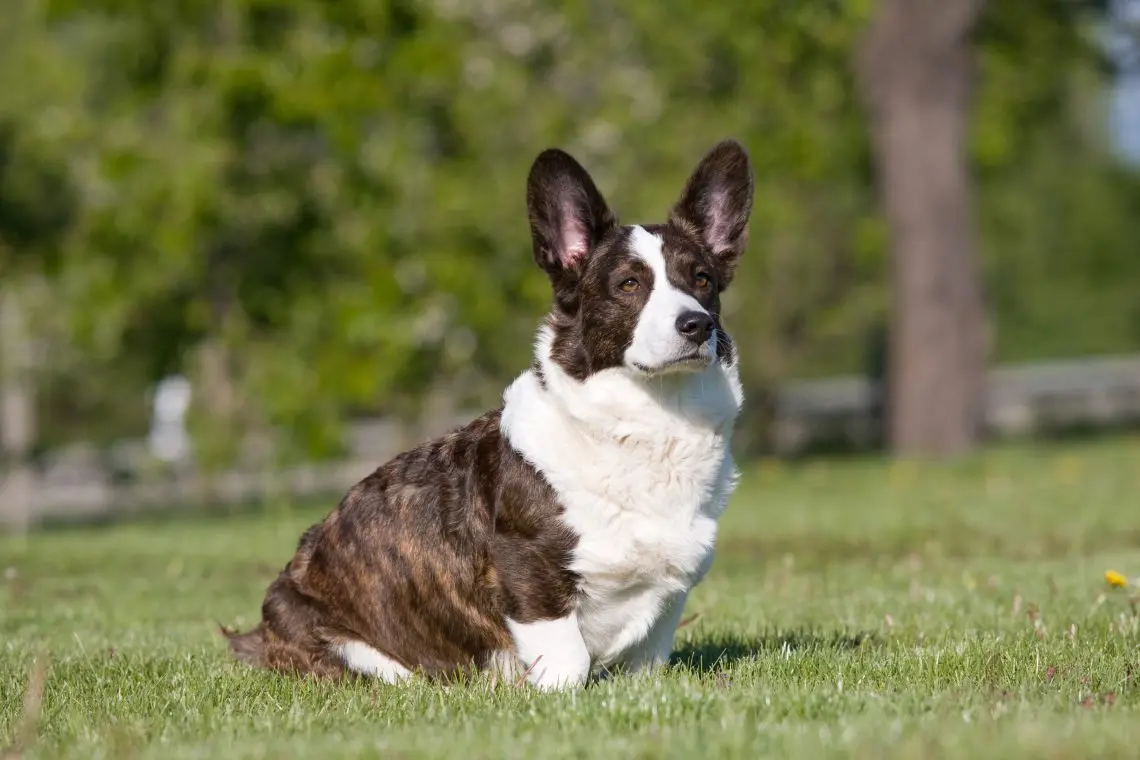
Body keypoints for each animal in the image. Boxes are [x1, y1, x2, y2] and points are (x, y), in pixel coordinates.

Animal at [222, 136, 756, 688]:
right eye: (629, 285)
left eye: (702, 280)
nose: (696, 325)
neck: (653, 419)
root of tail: (260, 631)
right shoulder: (529, 574)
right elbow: (569, 661)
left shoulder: (668, 599)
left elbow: (647, 663)